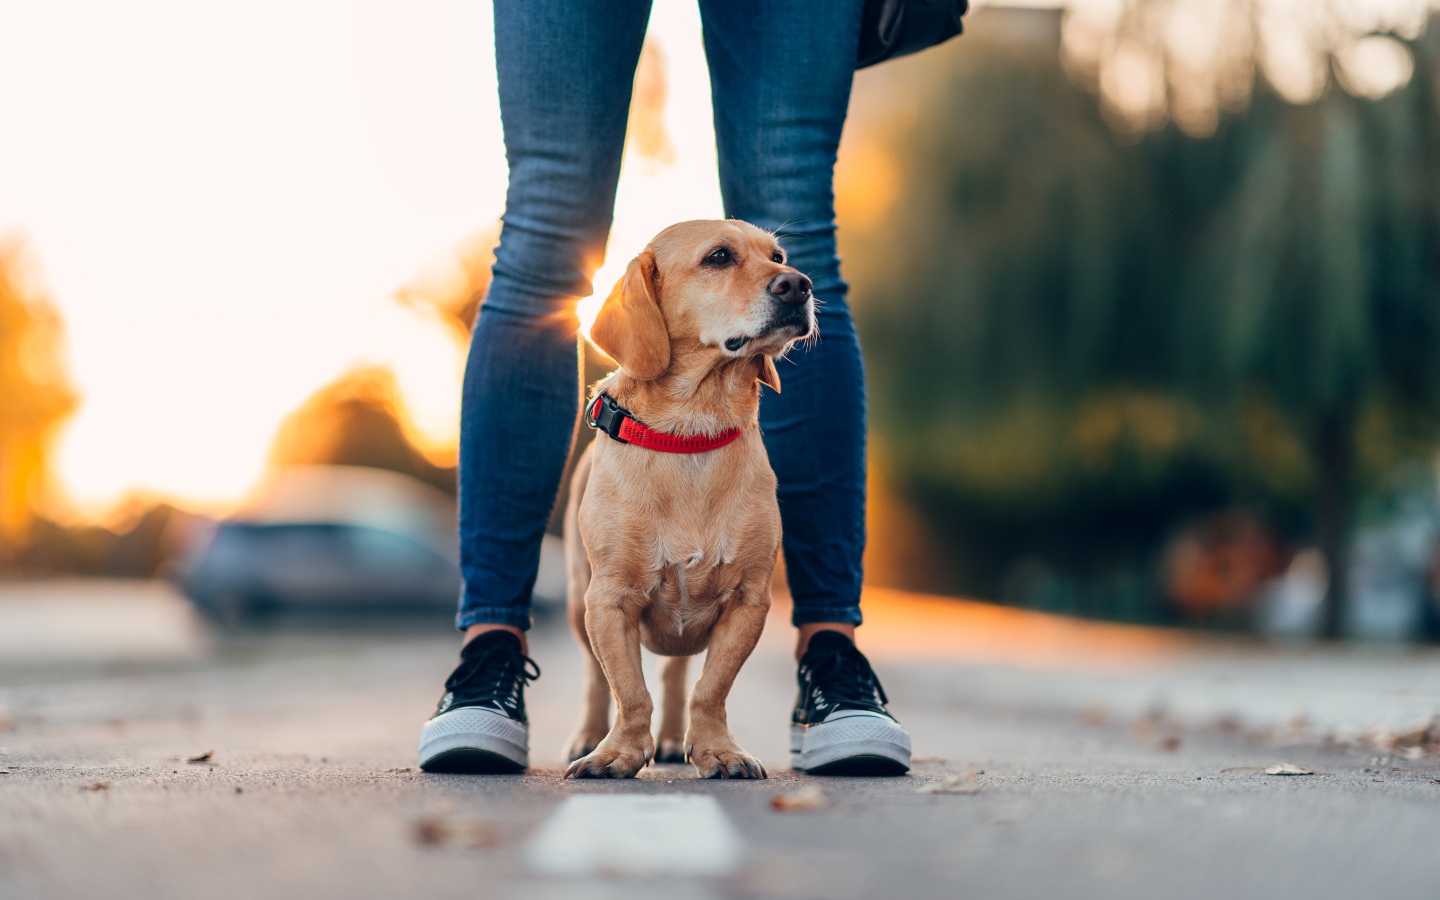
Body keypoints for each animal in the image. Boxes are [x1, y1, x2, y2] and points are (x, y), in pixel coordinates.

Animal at [558, 218, 812, 777]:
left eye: (778, 256)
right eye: (718, 257)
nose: (800, 285)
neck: (691, 433)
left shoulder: (748, 601)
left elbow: (709, 690)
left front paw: (718, 749)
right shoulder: (608, 602)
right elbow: (629, 691)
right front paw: (618, 753)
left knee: (675, 676)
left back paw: (675, 739)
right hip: (578, 604)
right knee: (594, 677)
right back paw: (587, 736)